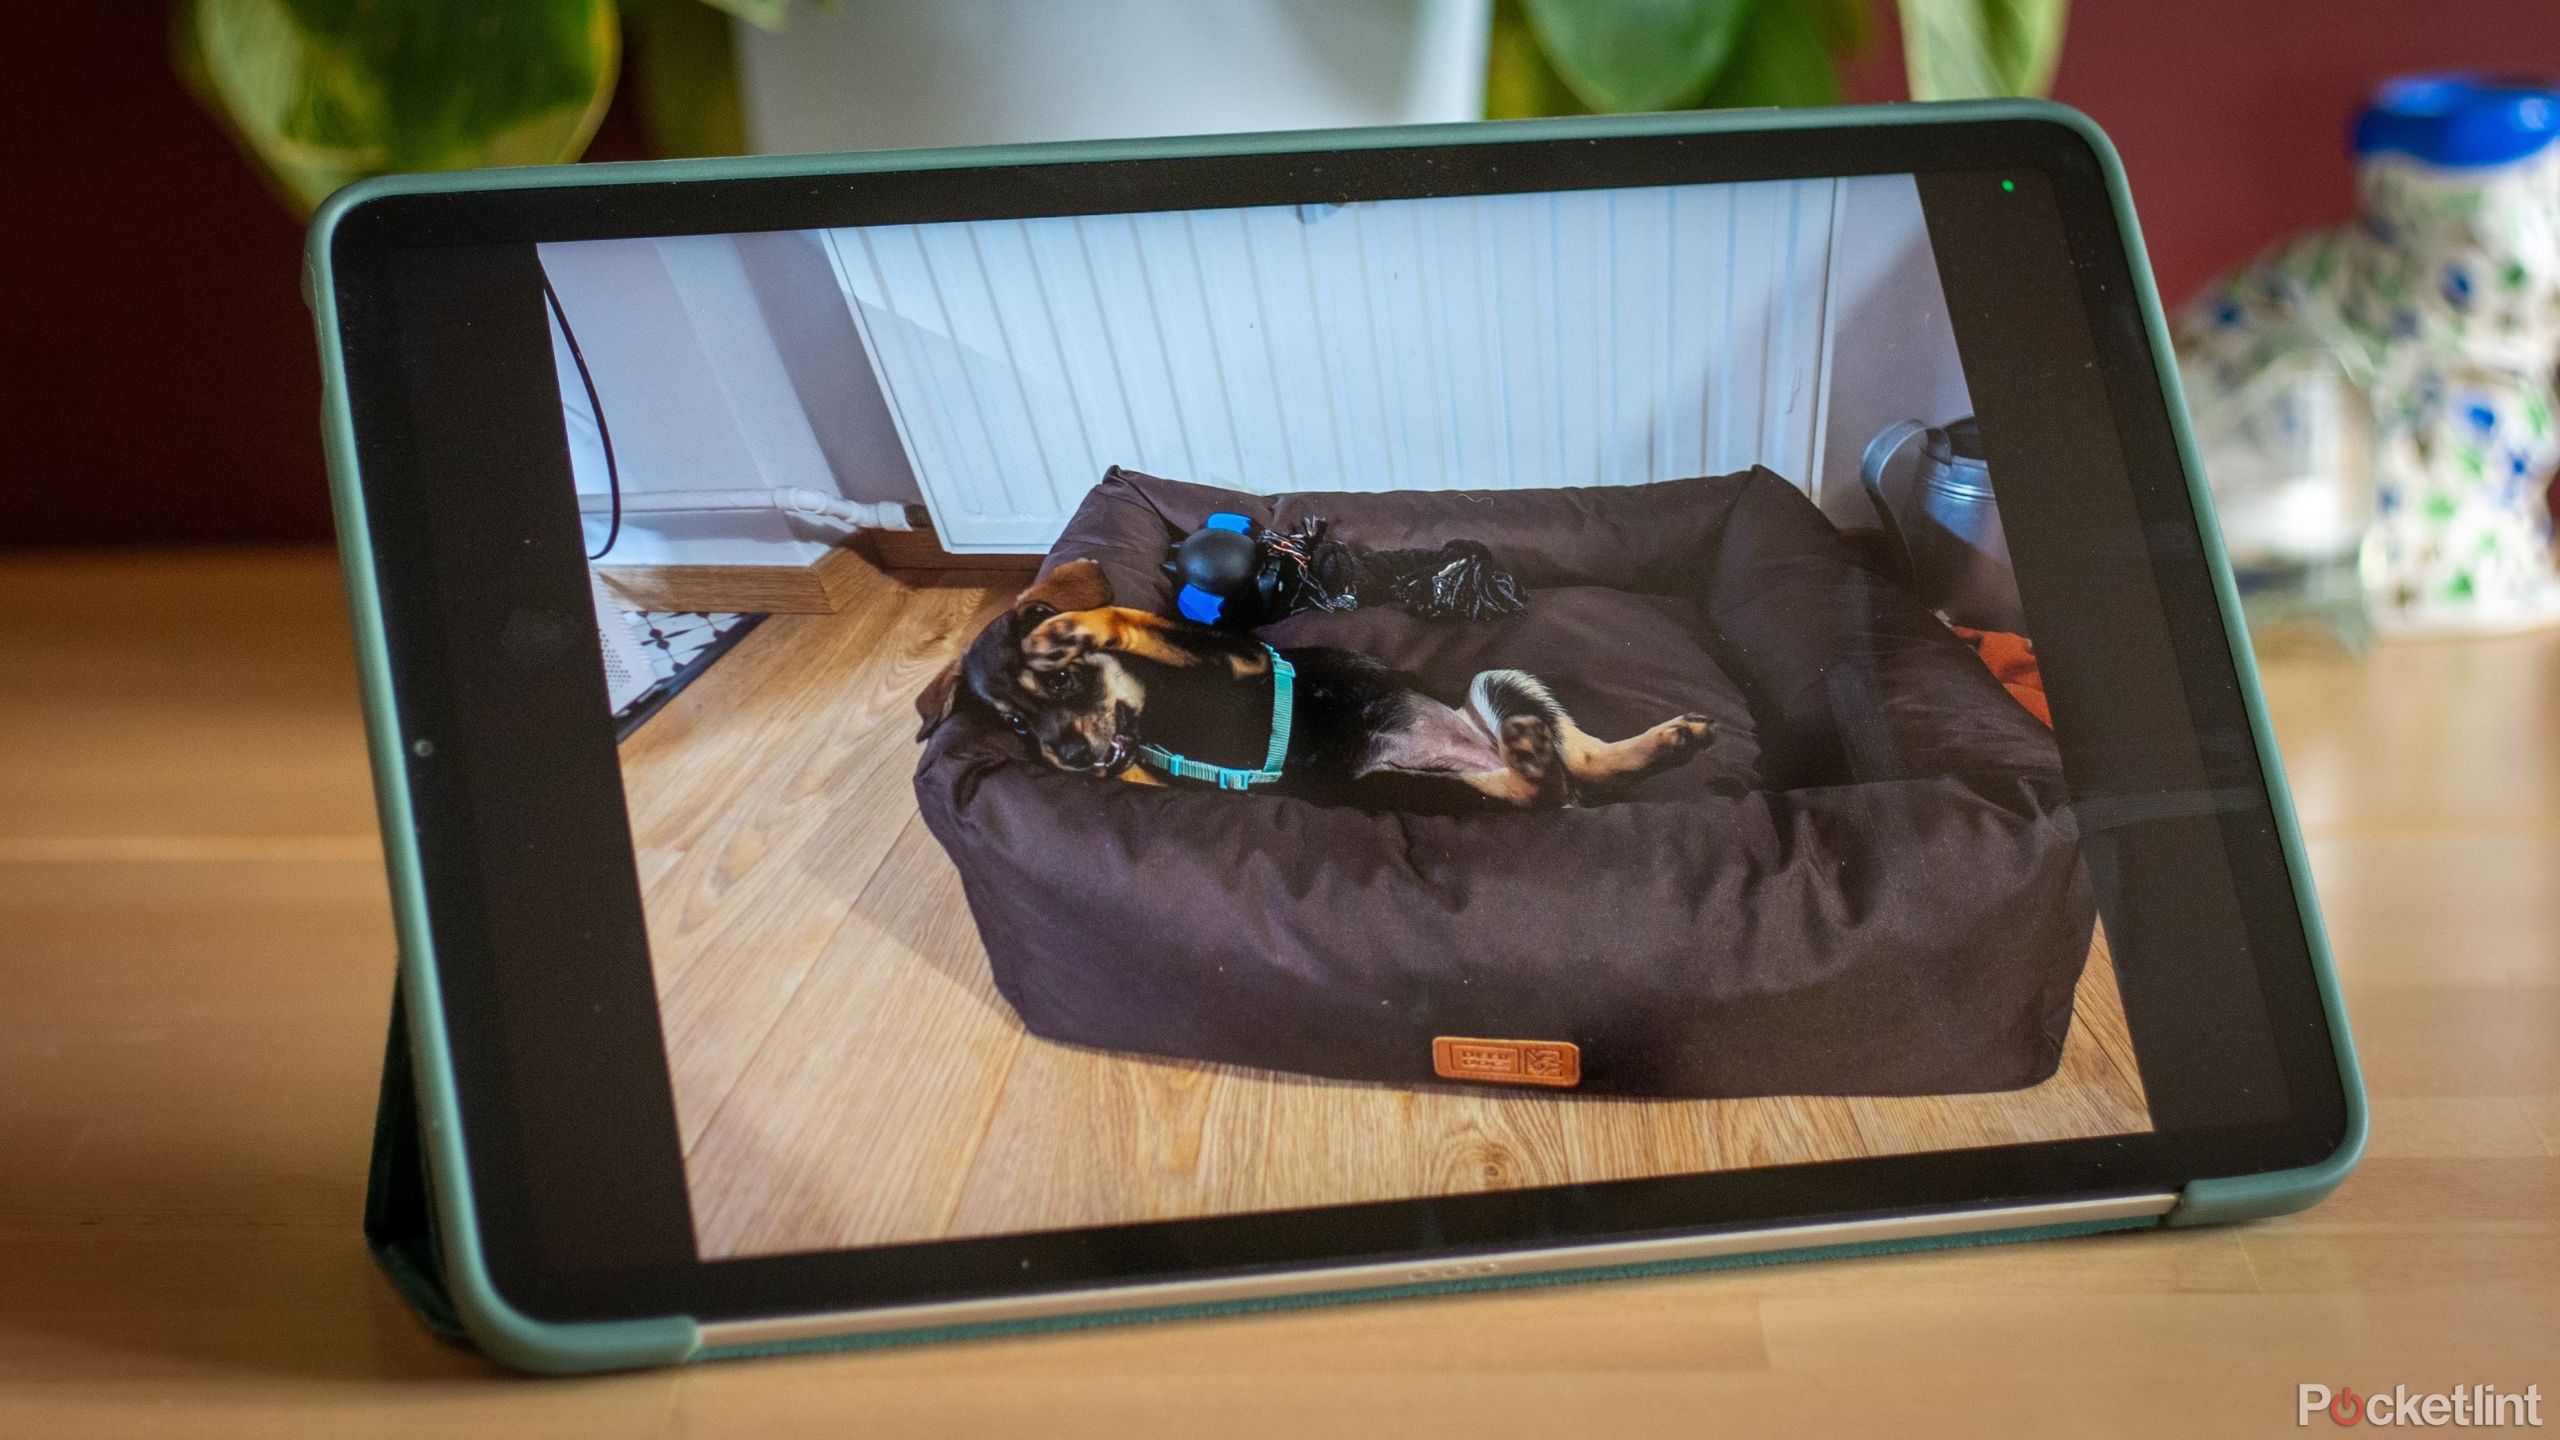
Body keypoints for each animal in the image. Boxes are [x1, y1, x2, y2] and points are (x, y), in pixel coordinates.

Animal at [911, 561, 1710, 809]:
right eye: (1015, 725)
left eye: (1065, 681)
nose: (1070, 758)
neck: (1155, 715)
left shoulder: (1236, 659)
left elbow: (1137, 621)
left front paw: (1069, 627)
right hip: (1395, 789)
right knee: (1546, 785)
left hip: (1497, 678)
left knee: (1582, 758)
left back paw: (1660, 741)